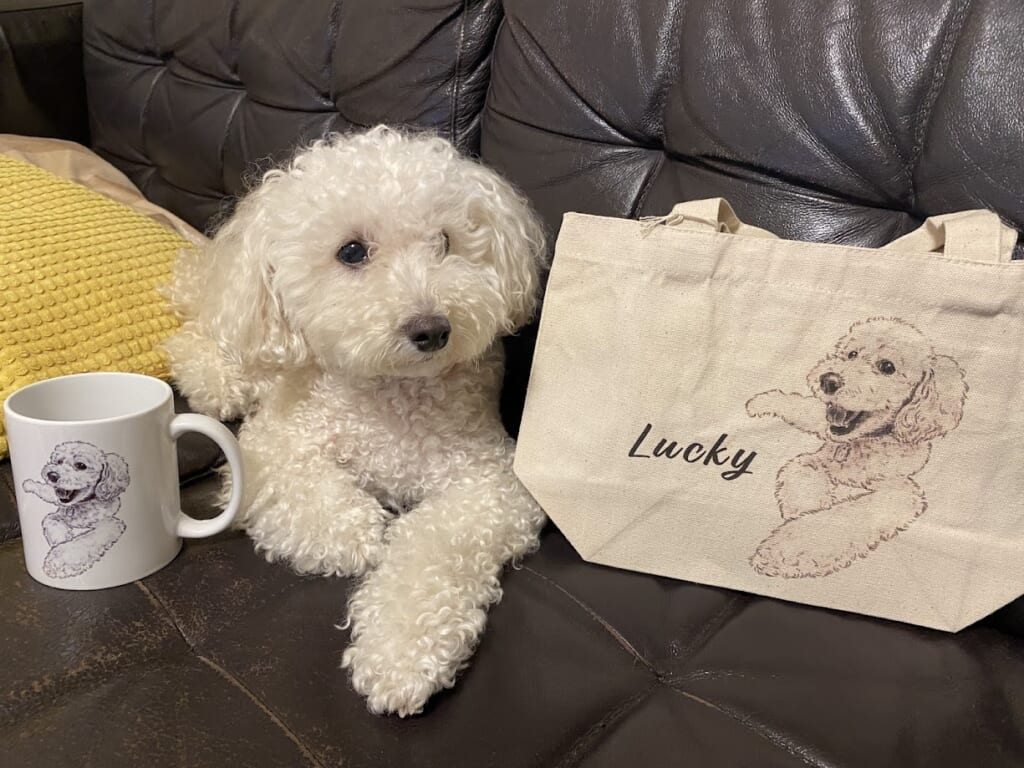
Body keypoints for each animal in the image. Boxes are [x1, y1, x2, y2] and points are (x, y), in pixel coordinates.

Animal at [22, 441, 130, 578]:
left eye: (80, 465)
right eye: (59, 461)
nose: (51, 475)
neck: (78, 506)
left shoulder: (111, 523)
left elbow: (83, 541)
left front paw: (58, 561)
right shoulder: (57, 515)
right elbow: (51, 521)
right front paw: (62, 539)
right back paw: (29, 484)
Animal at [165, 126, 547, 716]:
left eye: (444, 242)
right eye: (351, 251)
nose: (432, 329)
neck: (390, 394)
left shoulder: (489, 484)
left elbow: (432, 547)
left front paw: (402, 656)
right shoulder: (269, 447)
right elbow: (316, 496)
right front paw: (355, 535)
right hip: (241, 339)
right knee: (196, 337)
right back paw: (215, 378)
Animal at [746, 317, 967, 578]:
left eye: (887, 366)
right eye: (852, 354)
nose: (828, 380)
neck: (859, 443)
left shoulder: (900, 490)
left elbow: (846, 516)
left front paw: (786, 551)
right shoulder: (820, 457)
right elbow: (801, 467)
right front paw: (806, 509)